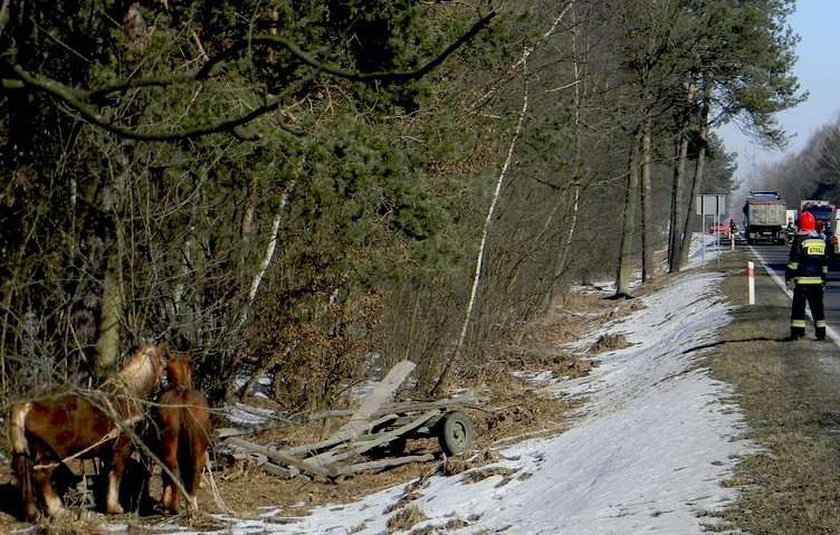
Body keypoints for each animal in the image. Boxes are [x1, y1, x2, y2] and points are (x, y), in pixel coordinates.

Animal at [8, 344, 164, 520]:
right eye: (164, 363)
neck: (127, 396)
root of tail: (27, 404)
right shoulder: (122, 448)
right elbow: (116, 475)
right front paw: (115, 508)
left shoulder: (107, 453)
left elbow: (107, 475)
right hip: (50, 454)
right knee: (41, 476)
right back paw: (57, 510)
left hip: (28, 452)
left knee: (25, 475)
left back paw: (32, 513)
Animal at [155, 352, 213, 516]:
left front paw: (164, 501)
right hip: (198, 446)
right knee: (195, 469)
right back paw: (191, 504)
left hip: (169, 442)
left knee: (173, 469)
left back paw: (174, 506)